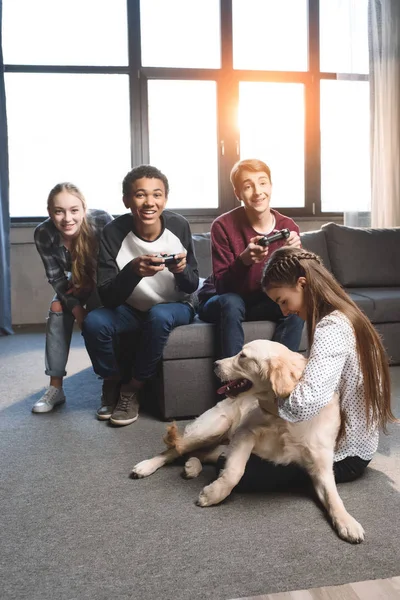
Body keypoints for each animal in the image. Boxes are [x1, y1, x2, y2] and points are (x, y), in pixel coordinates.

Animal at [133, 342, 364, 544]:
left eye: (243, 356)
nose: (215, 364)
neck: (283, 418)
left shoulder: (321, 466)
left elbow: (334, 497)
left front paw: (347, 522)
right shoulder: (245, 433)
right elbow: (234, 472)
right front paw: (213, 494)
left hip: (220, 443)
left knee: (201, 453)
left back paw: (191, 466)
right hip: (214, 428)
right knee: (175, 449)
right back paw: (146, 467)